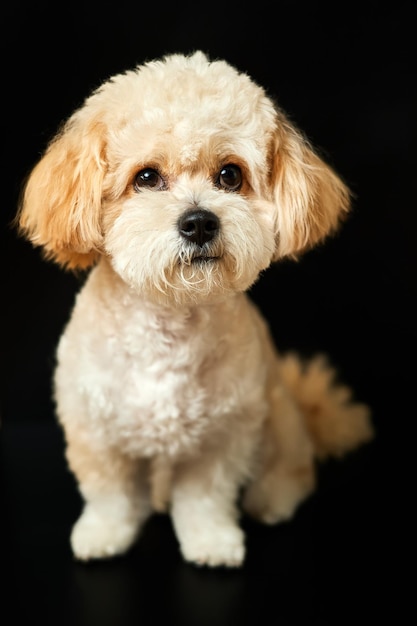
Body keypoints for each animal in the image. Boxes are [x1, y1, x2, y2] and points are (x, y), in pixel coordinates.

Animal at [17, 48, 374, 564]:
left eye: (230, 175)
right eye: (146, 177)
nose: (200, 222)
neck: (169, 320)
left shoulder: (222, 437)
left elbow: (205, 497)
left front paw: (212, 541)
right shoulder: (95, 429)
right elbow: (110, 494)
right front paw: (104, 534)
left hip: (279, 419)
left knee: (289, 468)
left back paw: (274, 499)